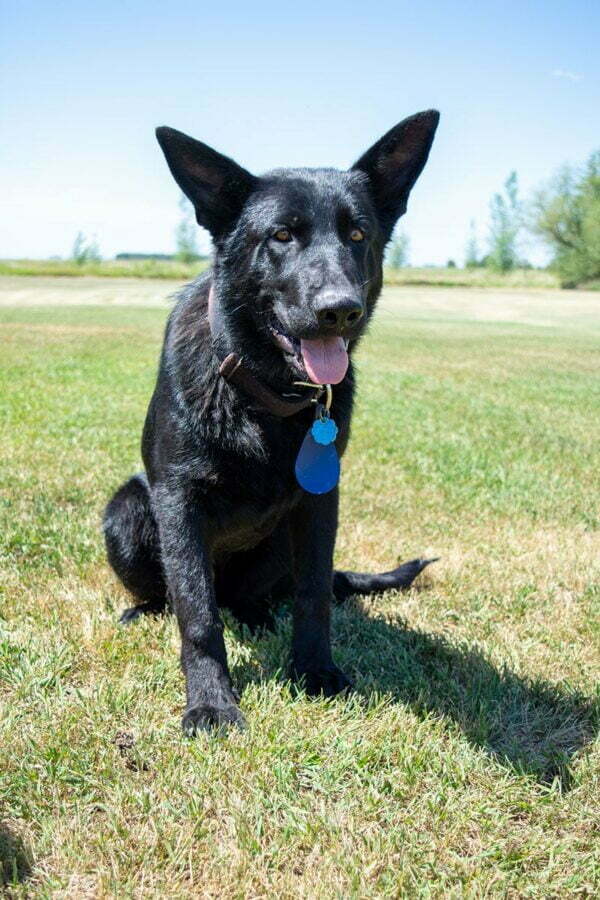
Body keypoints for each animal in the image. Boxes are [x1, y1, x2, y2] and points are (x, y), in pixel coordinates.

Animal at [103, 110, 440, 732]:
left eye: (358, 235)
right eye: (281, 236)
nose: (340, 309)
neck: (266, 395)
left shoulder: (320, 505)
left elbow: (313, 597)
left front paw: (314, 671)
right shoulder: (178, 502)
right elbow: (198, 614)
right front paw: (211, 702)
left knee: (254, 597)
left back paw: (258, 615)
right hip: (128, 511)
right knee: (183, 597)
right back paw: (147, 612)